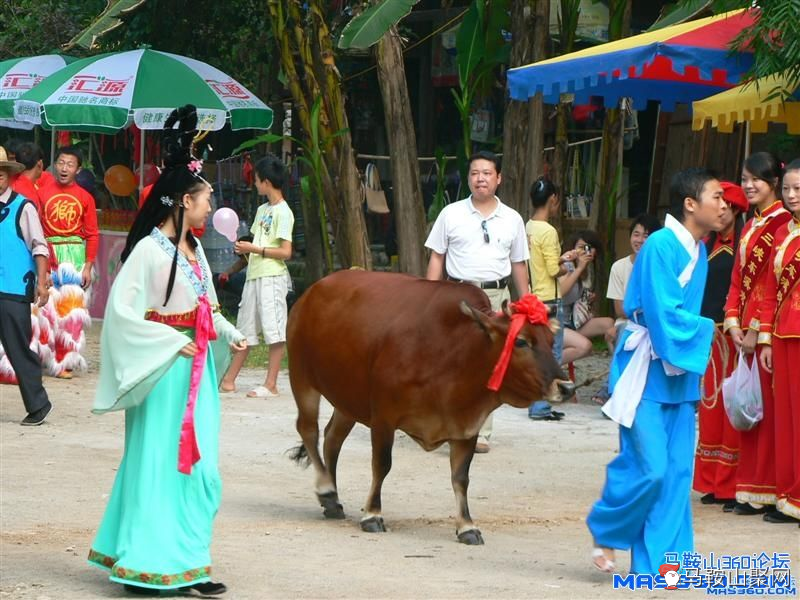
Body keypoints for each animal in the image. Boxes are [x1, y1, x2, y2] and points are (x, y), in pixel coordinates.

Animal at [284, 270, 564, 544]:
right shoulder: (383, 416)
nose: (566, 386)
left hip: (347, 398)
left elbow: (460, 478)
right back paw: (326, 489)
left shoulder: (467, 426)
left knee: (332, 438)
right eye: (521, 342)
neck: (454, 352)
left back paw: (332, 499)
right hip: (302, 377)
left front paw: (467, 526)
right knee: (309, 430)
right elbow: (381, 465)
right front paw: (372, 514)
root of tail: (311, 292)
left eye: (551, 340)